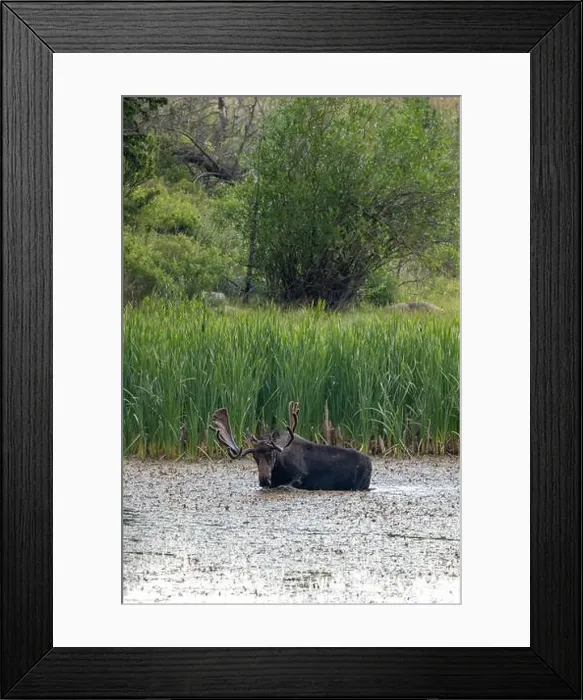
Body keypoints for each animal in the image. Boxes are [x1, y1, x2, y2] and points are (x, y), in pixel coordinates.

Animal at [212, 401, 372, 491]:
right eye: (254, 457)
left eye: (272, 454)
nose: (264, 479)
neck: (278, 469)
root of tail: (370, 461)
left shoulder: (300, 475)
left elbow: (290, 483)